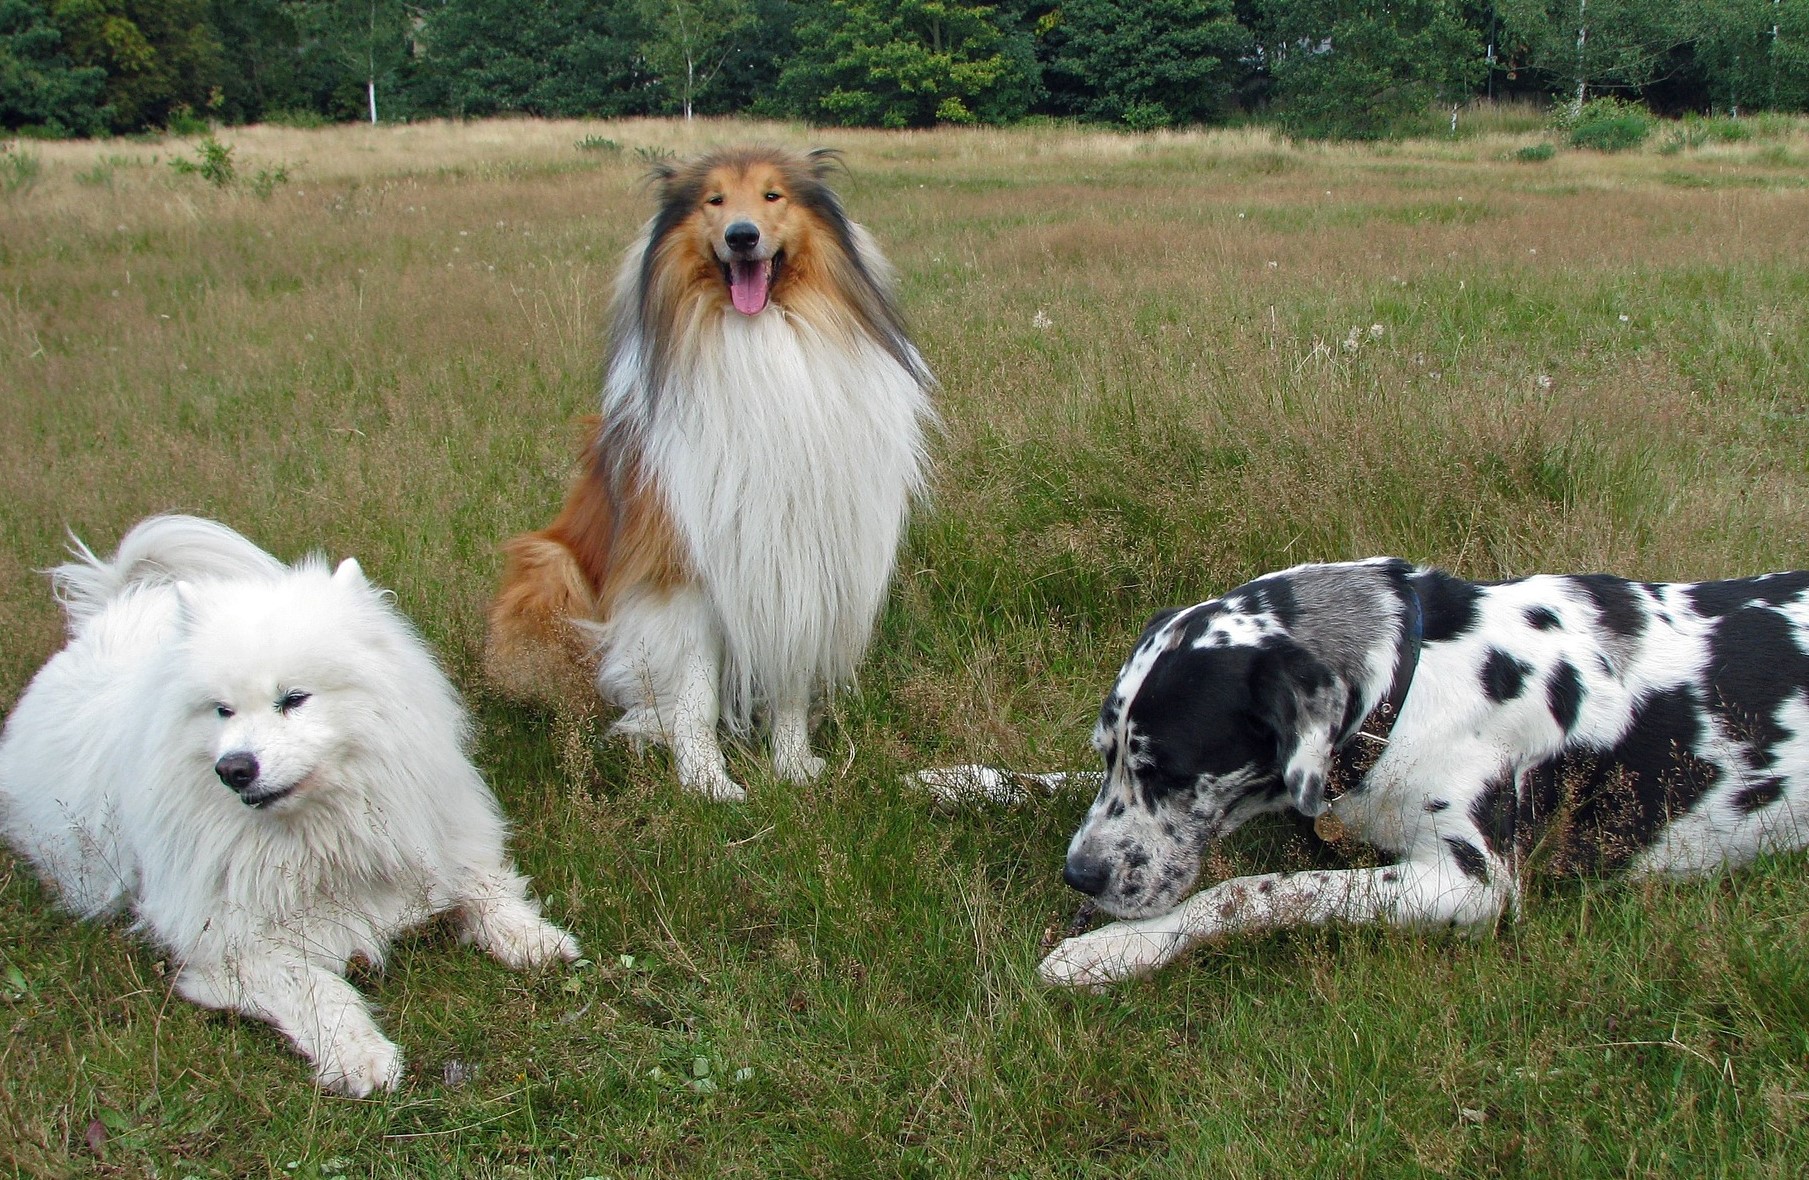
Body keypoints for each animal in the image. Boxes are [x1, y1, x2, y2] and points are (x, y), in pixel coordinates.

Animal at [0, 517, 575, 1100]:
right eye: (222, 710)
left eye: (294, 698)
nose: (234, 768)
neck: (323, 835)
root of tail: (115, 609)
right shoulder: (236, 948)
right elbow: (318, 988)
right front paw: (361, 1056)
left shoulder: (439, 845)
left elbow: (486, 891)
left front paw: (537, 939)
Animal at [1034, 557, 1809, 984]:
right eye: (1107, 754)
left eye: (1167, 771)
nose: (1080, 875)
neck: (1409, 683)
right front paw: (1001, 782)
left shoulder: (1469, 883)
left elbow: (1254, 892)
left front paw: (1114, 949)